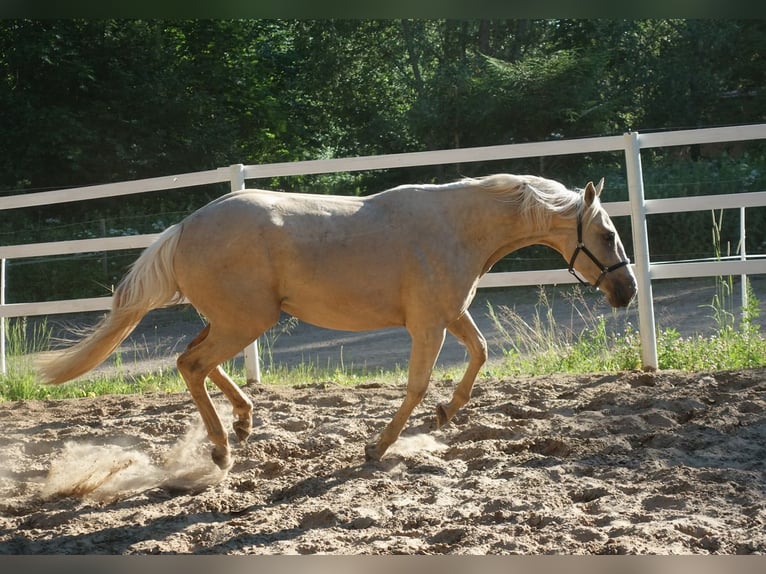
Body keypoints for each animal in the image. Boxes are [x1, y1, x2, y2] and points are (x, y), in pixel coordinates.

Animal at [37, 176, 636, 472]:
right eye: (607, 235)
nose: (627, 292)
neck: (454, 227)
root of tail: (183, 227)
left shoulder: (450, 314)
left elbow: (481, 353)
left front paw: (446, 415)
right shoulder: (428, 324)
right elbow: (417, 384)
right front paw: (378, 448)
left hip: (236, 319)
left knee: (195, 360)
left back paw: (244, 423)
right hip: (246, 321)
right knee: (191, 363)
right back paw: (222, 449)